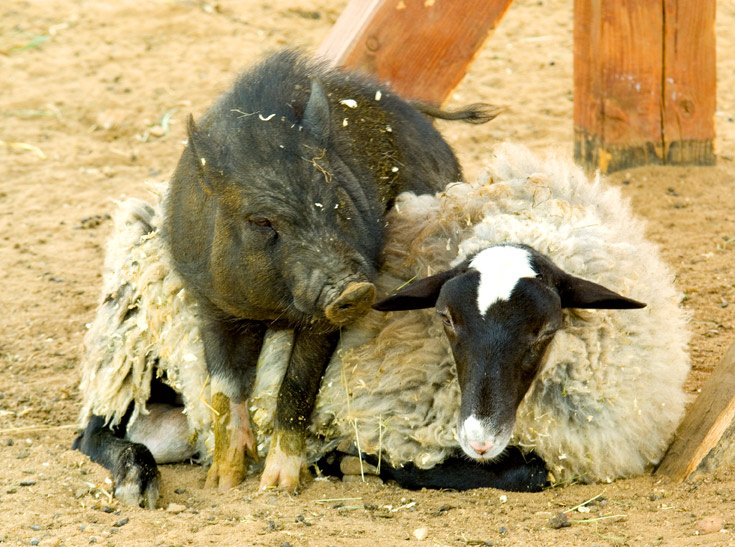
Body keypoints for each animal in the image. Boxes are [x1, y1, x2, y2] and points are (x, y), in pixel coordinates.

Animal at [75, 143, 689, 505]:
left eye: (544, 329)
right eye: (446, 318)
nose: (479, 437)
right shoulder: (393, 425)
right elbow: (523, 472)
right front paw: (347, 462)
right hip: (135, 346)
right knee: (95, 431)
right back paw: (135, 478)